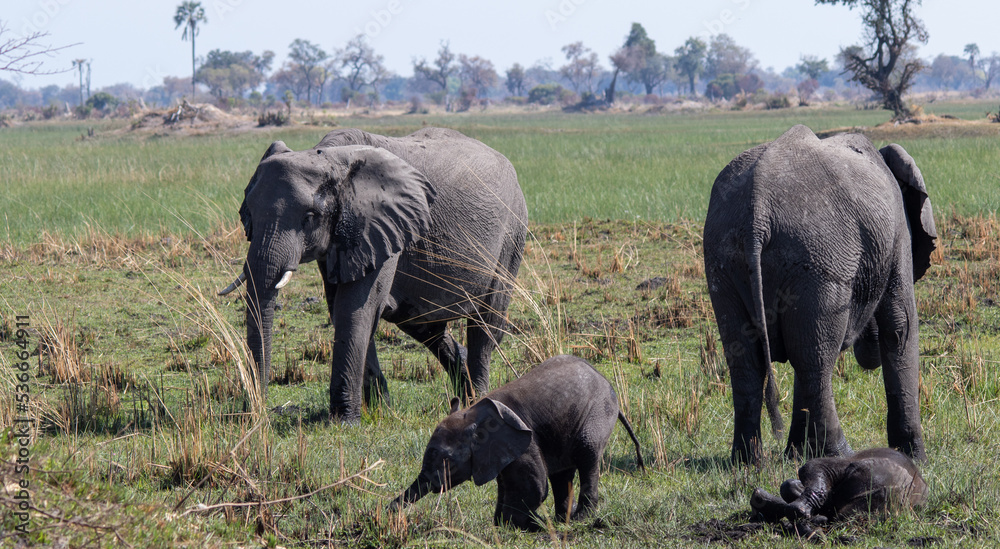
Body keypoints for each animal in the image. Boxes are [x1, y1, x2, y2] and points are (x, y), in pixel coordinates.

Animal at [221, 127, 532, 420]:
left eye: (309, 217)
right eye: (248, 213)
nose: (256, 412)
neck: (329, 157)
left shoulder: (382, 226)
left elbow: (355, 308)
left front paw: (345, 421)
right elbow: (341, 308)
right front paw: (379, 412)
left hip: (513, 233)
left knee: (485, 327)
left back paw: (478, 398)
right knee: (425, 326)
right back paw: (463, 392)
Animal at [386, 354, 644, 528]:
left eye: (447, 461)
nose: (386, 510)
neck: (473, 415)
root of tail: (606, 381)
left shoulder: (524, 442)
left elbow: (533, 487)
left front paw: (522, 525)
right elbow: (509, 484)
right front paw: (510, 524)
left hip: (598, 413)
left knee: (587, 456)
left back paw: (580, 519)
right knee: (562, 473)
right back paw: (563, 521)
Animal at [704, 123, 936, 462]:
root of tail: (757, 215)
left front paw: (797, 453)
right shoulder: (898, 235)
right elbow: (900, 325)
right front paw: (914, 457)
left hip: (724, 256)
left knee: (753, 360)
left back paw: (749, 462)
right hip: (818, 258)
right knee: (815, 358)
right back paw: (840, 455)